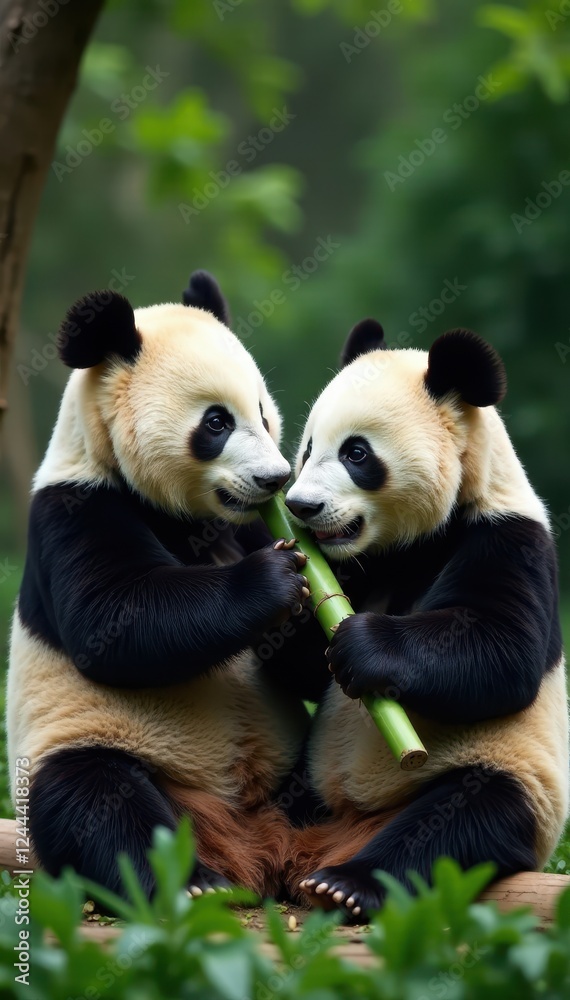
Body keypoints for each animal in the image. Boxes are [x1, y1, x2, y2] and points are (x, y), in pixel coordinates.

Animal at [7, 271, 311, 901]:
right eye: (217, 423)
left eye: (264, 413)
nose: (274, 478)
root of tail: (247, 840)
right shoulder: (76, 507)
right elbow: (115, 621)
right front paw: (273, 582)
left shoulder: (243, 524)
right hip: (83, 744)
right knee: (93, 799)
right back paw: (194, 884)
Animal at [274, 319, 568, 922]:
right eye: (309, 447)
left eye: (356, 453)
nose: (301, 506)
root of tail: (339, 830)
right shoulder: (356, 565)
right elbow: (303, 669)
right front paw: (286, 583)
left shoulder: (507, 537)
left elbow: (501, 651)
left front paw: (362, 646)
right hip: (310, 776)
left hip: (513, 780)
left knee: (457, 824)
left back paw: (347, 883)